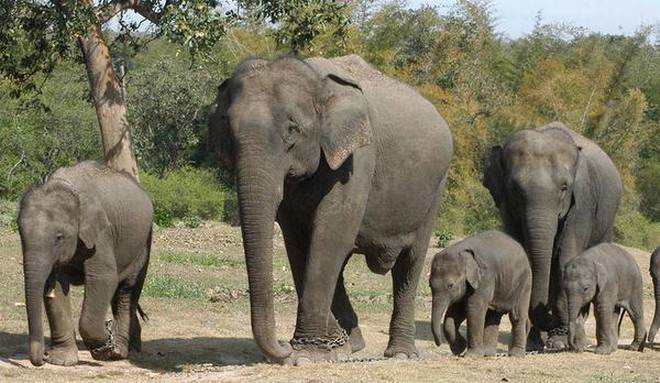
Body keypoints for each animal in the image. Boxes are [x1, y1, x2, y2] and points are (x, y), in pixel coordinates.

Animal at [18, 160, 153, 368]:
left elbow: (103, 278)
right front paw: (61, 361)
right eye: (20, 234)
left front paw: (106, 346)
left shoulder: (102, 233)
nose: (43, 357)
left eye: (59, 237)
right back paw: (130, 346)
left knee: (126, 290)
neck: (68, 187)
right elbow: (55, 287)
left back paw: (120, 350)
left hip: (143, 244)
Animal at [210, 54, 454, 366]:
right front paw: (332, 346)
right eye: (228, 129)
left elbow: (330, 235)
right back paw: (354, 342)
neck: (315, 79)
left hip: (435, 189)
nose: (282, 346)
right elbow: (299, 243)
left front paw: (307, 354)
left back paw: (400, 354)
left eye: (292, 129)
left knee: (409, 262)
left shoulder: (358, 160)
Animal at [430, 231, 532, 360]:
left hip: (524, 282)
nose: (438, 344)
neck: (462, 251)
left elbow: (474, 309)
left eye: (450, 285)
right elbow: (455, 313)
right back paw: (488, 353)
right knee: (493, 316)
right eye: (429, 285)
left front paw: (471, 355)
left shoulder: (485, 278)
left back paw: (515, 355)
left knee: (516, 315)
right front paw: (459, 349)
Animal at [482, 122, 620, 352]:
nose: (548, 316)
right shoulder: (506, 205)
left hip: (606, 221)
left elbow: (566, 257)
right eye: (515, 189)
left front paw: (559, 343)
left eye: (564, 188)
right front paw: (533, 343)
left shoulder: (582, 203)